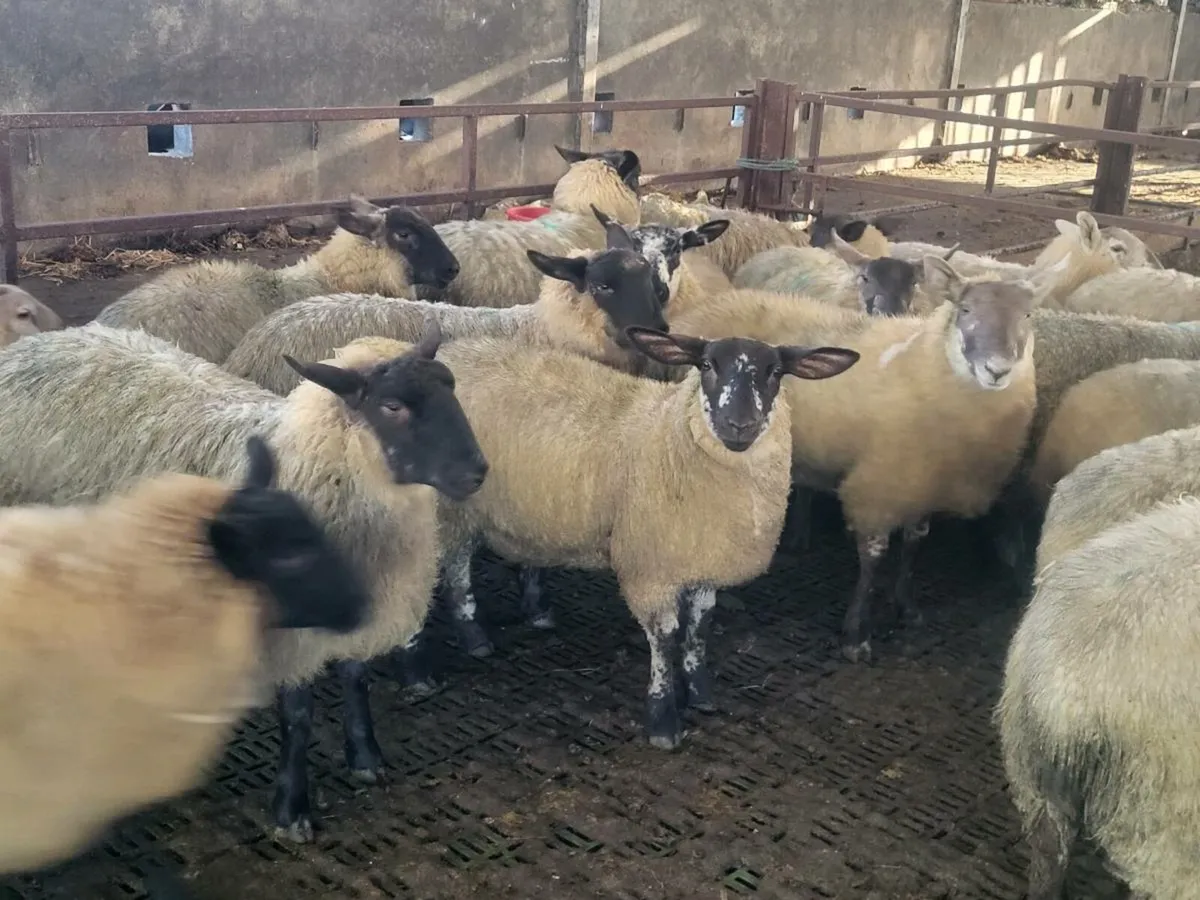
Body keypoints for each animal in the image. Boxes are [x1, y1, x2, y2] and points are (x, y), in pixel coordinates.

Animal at [432, 327, 859, 746]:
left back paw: (535, 612)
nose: (739, 425)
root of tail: (451, 351)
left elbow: (700, 626)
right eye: (706, 365)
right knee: (456, 568)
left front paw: (699, 691)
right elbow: (665, 637)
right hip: (455, 510)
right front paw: (663, 717)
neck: (670, 431)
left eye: (775, 372)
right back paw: (474, 635)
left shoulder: (704, 562)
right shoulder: (651, 570)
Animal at [671, 264, 1039, 663]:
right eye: (966, 310)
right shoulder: (879, 487)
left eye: (1028, 316)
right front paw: (856, 635)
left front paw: (907, 606)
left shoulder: (922, 484)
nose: (997, 370)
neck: (926, 362)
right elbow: (873, 559)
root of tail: (713, 304)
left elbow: (915, 543)